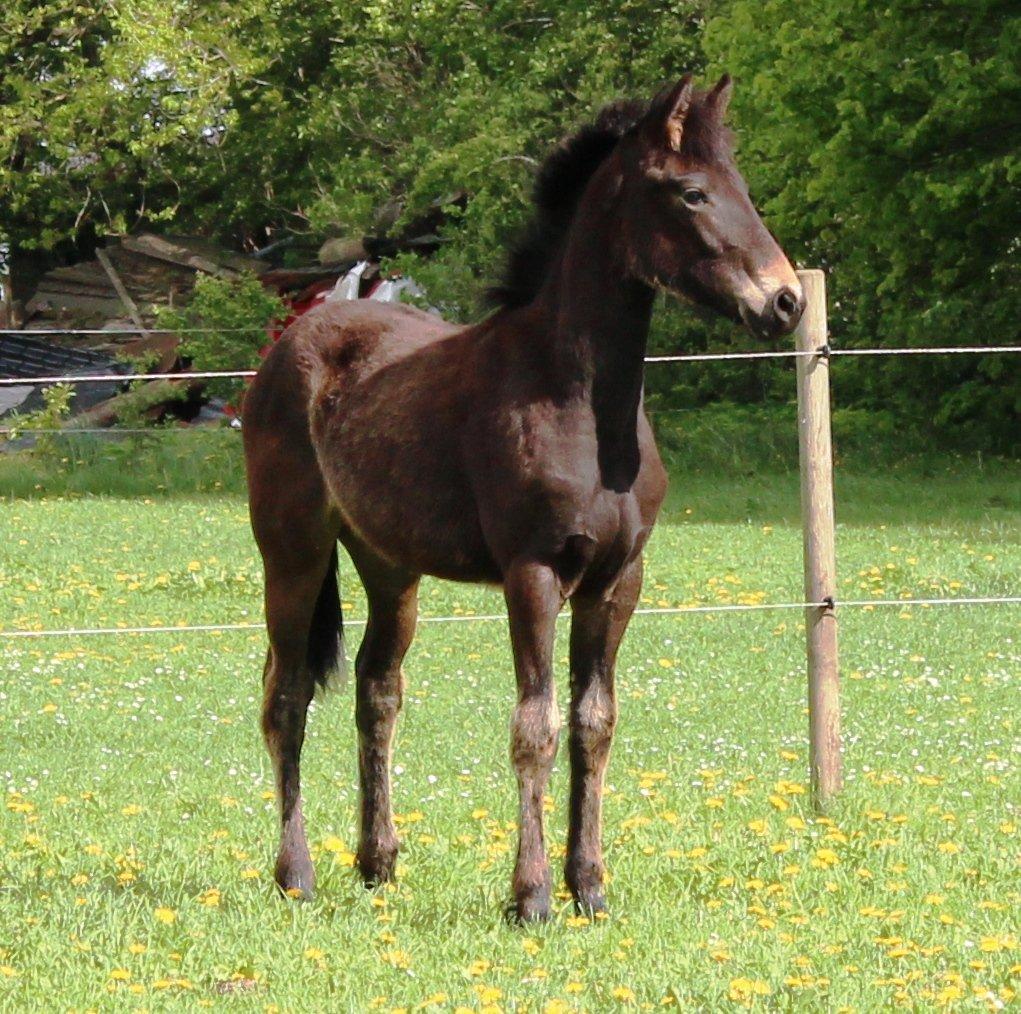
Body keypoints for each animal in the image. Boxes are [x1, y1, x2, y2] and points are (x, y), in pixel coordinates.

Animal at [240, 75, 804, 923]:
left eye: (741, 187)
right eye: (691, 193)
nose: (786, 302)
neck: (581, 403)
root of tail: (294, 338)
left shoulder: (616, 581)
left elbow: (593, 723)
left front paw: (590, 886)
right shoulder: (532, 573)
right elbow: (534, 727)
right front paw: (531, 895)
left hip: (389, 566)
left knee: (377, 691)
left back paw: (377, 863)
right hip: (292, 551)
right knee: (288, 695)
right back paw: (295, 873)